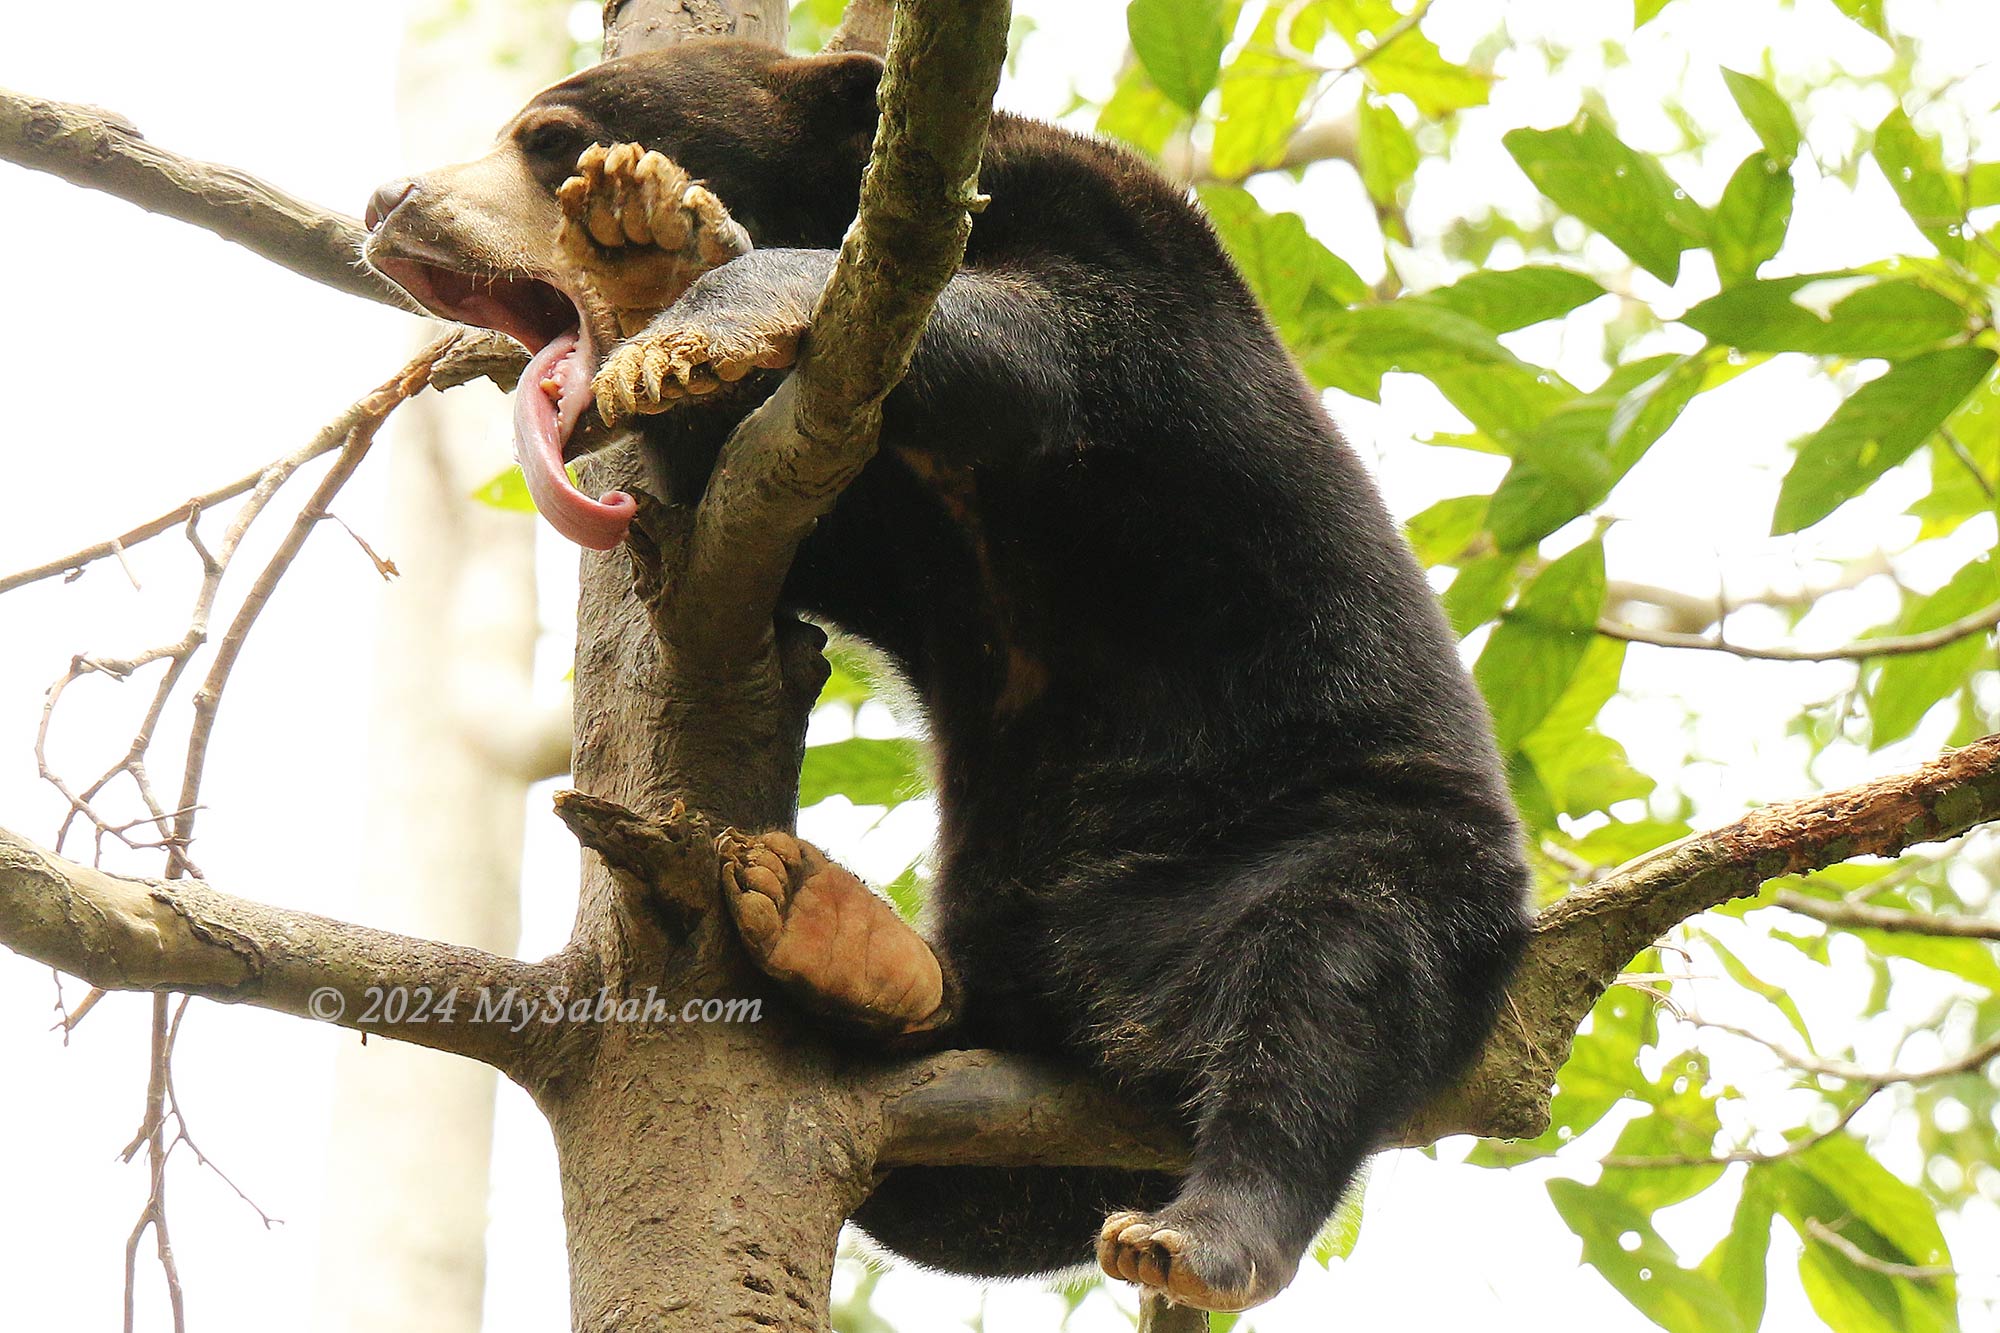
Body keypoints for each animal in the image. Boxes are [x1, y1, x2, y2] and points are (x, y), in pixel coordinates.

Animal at [364, 39, 1528, 1304]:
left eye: (543, 139)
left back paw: (1199, 1232)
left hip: (1353, 829)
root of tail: (1097, 1011)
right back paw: (834, 930)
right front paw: (649, 297)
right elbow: (798, 509)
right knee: (965, 1159)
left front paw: (656, 261)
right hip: (1004, 917)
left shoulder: (1124, 262)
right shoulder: (872, 506)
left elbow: (1036, 345)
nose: (387, 201)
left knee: (1330, 983)